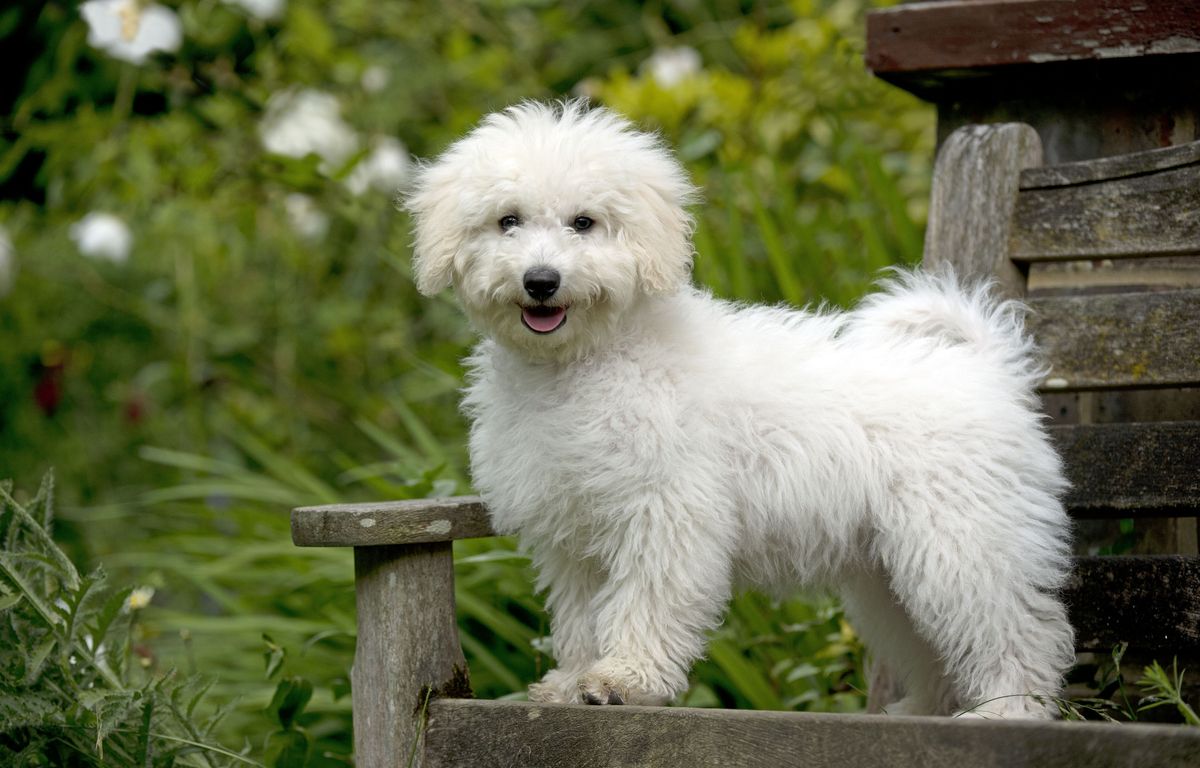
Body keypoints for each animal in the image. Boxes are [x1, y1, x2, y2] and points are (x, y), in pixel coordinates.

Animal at [408, 99, 1075, 715]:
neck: (587, 364)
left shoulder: (667, 509)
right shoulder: (573, 533)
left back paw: (1009, 709)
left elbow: (649, 597)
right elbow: (580, 617)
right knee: (927, 642)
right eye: (508, 221)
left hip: (964, 540)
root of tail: (987, 366)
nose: (541, 281)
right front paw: (575, 682)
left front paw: (625, 679)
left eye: (584, 222)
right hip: (891, 572)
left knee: (1018, 628)